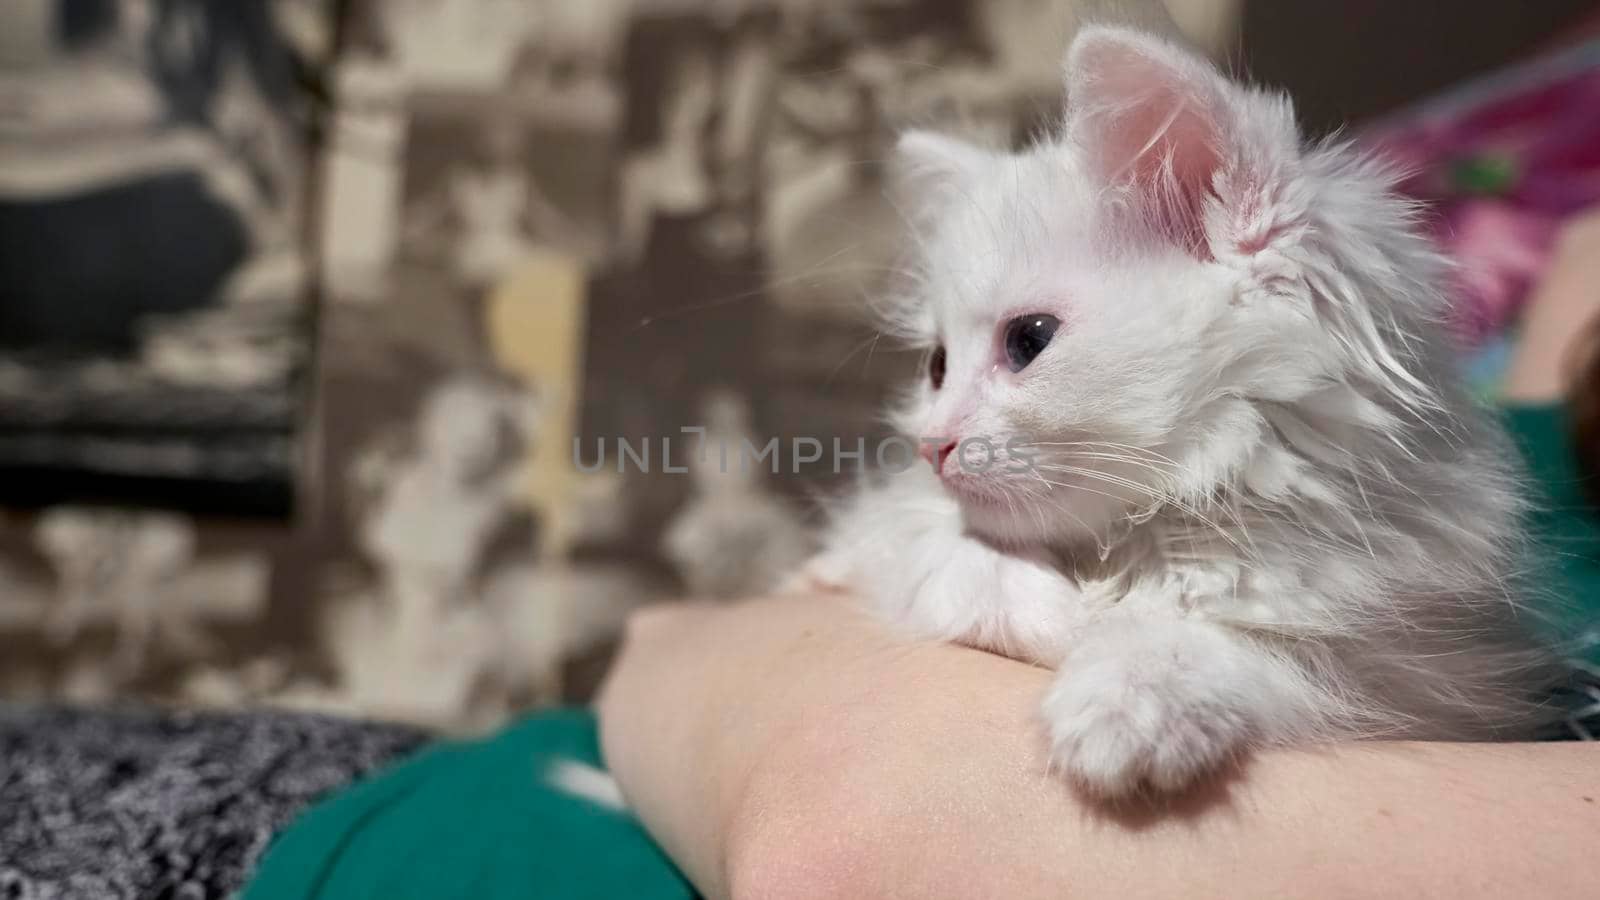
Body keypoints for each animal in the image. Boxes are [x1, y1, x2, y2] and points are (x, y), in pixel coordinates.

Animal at [806, 26, 1568, 797]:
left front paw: (1126, 700)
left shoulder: (1410, 670)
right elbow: (958, 563)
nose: (932, 444)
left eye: (1028, 341)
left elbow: (1223, 648)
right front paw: (1067, 620)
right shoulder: (889, 540)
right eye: (936, 367)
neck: (1141, 531)